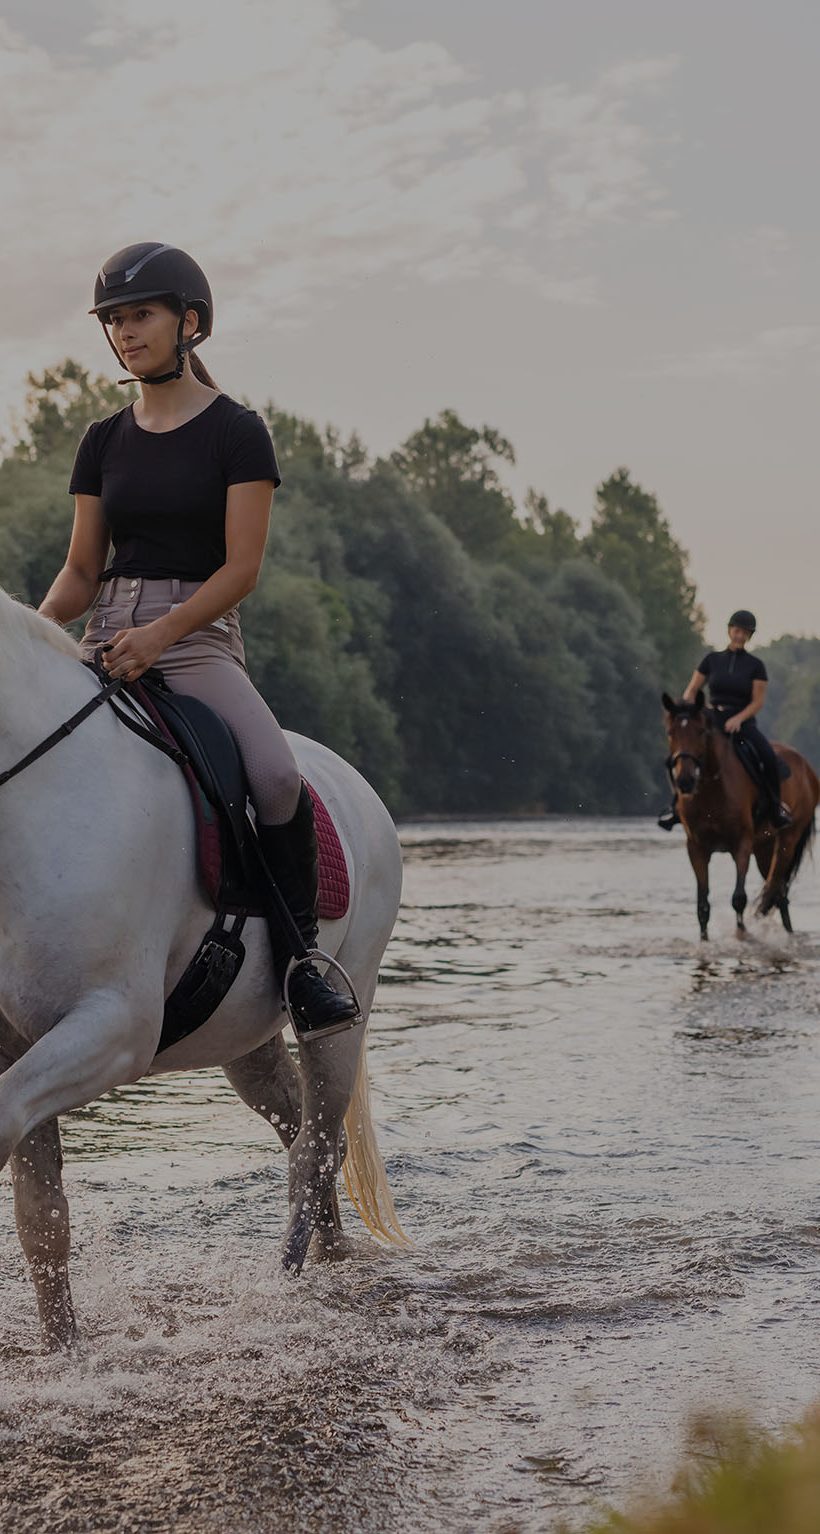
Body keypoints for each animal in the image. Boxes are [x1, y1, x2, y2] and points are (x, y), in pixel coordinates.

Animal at [0, 587, 407, 1350]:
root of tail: (357, 787)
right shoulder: (17, 1042)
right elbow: (42, 1217)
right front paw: (64, 1351)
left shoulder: (113, 1029)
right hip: (245, 1039)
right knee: (306, 1132)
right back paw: (333, 1257)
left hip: (342, 1012)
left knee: (314, 1148)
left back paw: (287, 1286)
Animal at [662, 690, 819, 940]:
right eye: (670, 732)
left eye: (701, 731)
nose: (685, 780)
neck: (712, 788)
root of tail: (808, 769)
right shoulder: (696, 848)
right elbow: (702, 905)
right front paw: (704, 941)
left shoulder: (741, 844)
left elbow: (738, 898)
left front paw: (742, 936)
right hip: (764, 847)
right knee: (779, 894)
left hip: (786, 841)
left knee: (775, 888)